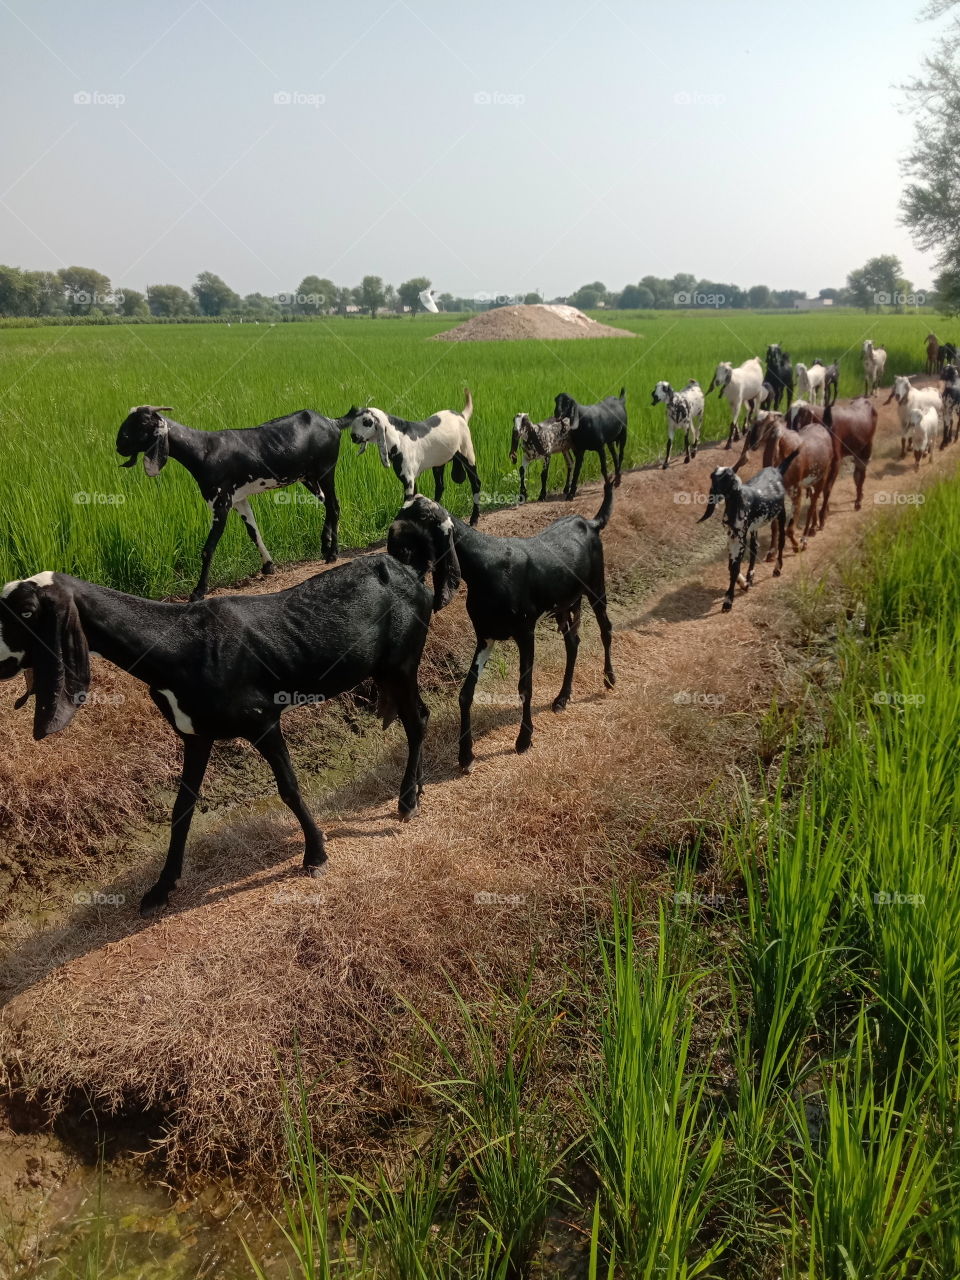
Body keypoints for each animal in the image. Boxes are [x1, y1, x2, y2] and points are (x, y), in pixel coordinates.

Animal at [0, 510, 460, 915]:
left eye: (27, 612)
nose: (0, 662)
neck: (181, 646)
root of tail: (408, 568)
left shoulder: (262, 720)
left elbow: (288, 787)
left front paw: (315, 854)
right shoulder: (195, 734)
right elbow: (181, 808)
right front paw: (161, 888)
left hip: (401, 662)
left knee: (417, 719)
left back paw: (406, 801)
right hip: (386, 669)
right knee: (417, 716)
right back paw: (416, 788)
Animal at [116, 405, 345, 602]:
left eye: (142, 423)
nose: (119, 445)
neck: (204, 451)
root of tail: (332, 422)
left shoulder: (220, 502)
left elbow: (208, 548)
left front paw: (199, 591)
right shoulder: (239, 499)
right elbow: (253, 532)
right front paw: (268, 566)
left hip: (326, 471)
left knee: (334, 506)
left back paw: (333, 554)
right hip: (308, 478)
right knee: (327, 504)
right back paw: (325, 546)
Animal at [344, 389, 482, 526]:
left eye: (367, 421)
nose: (353, 436)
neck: (399, 439)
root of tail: (461, 416)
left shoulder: (409, 481)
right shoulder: (411, 480)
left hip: (468, 455)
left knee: (476, 484)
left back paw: (474, 519)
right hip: (438, 463)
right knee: (440, 486)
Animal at [410, 484, 616, 773]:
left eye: (417, 525)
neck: (487, 566)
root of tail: (591, 523)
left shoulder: (525, 632)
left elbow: (524, 686)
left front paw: (524, 740)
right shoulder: (485, 636)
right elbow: (466, 693)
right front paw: (465, 755)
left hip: (596, 588)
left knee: (605, 629)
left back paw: (609, 679)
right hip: (566, 603)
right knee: (572, 643)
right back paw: (562, 698)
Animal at [698, 451, 798, 612]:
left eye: (726, 478)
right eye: (712, 476)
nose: (714, 494)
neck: (739, 502)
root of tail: (776, 470)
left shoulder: (740, 538)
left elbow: (734, 567)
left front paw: (728, 600)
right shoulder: (732, 536)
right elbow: (731, 565)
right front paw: (744, 583)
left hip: (781, 515)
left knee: (781, 540)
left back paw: (777, 569)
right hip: (754, 528)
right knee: (755, 547)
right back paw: (750, 576)